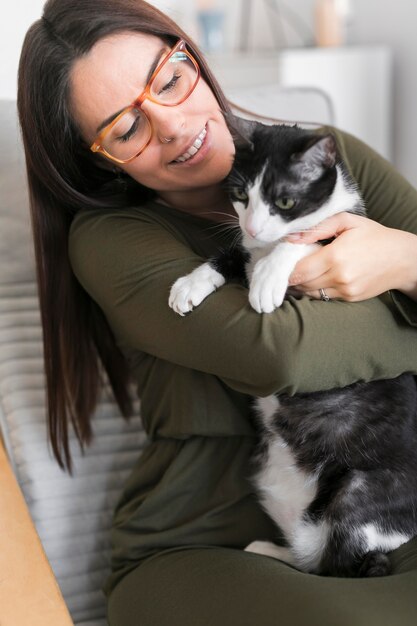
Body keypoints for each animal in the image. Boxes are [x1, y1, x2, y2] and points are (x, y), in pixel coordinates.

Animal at [167, 117, 416, 576]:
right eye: (241, 195)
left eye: (284, 200)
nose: (252, 227)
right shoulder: (244, 247)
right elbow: (231, 254)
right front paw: (191, 284)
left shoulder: (342, 242)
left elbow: (302, 241)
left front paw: (268, 277)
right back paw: (271, 550)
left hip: (359, 492)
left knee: (338, 562)